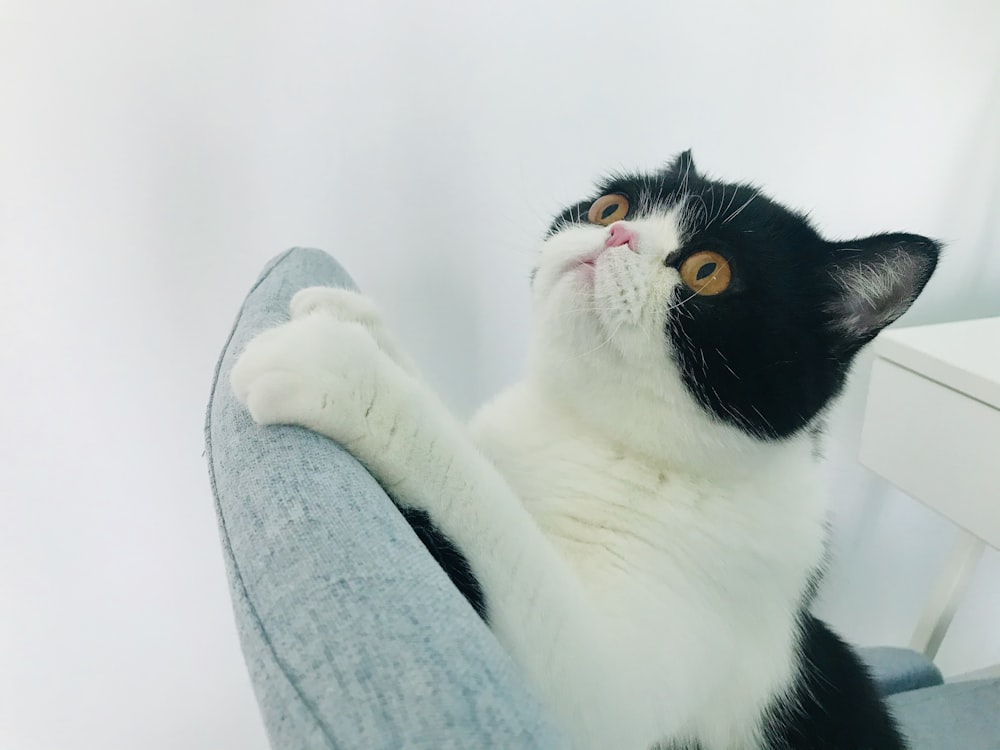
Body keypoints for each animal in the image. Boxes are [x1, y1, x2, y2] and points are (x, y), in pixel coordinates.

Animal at [230, 150, 940, 748]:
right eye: (610, 206)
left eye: (708, 271)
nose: (614, 236)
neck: (588, 430)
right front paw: (355, 319)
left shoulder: (605, 688)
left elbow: (490, 509)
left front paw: (342, 366)